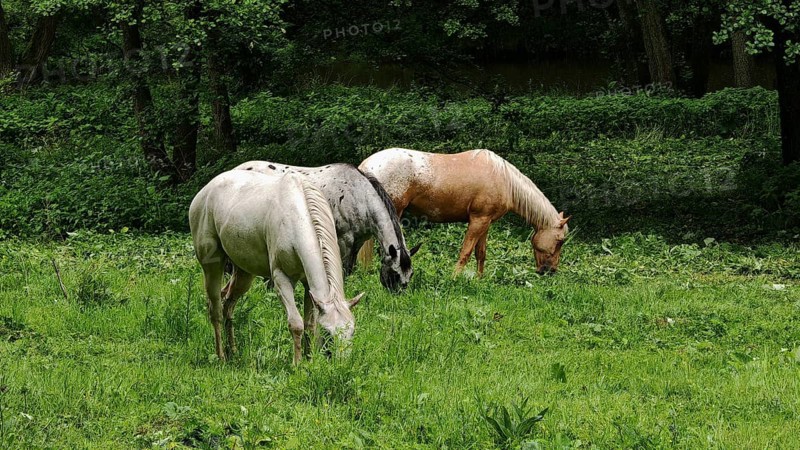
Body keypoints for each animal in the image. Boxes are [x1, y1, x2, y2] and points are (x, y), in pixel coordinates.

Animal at [189, 169, 363, 364]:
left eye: (352, 331)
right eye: (328, 333)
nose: (342, 365)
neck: (296, 216)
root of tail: (204, 191)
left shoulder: (309, 286)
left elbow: (309, 324)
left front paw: (309, 360)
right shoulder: (281, 279)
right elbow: (296, 324)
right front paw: (297, 364)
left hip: (243, 272)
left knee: (228, 303)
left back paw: (233, 351)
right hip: (212, 265)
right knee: (216, 309)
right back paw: (221, 356)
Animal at [232, 160, 420, 291]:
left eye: (411, 274)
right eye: (395, 273)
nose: (398, 295)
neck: (359, 196)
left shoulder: (357, 243)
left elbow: (350, 268)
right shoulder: (344, 240)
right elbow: (343, 269)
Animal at [358, 148, 570, 277]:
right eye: (560, 240)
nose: (550, 271)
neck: (503, 179)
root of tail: (366, 165)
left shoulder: (485, 222)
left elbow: (480, 253)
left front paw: (479, 280)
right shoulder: (477, 221)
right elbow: (465, 252)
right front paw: (454, 279)